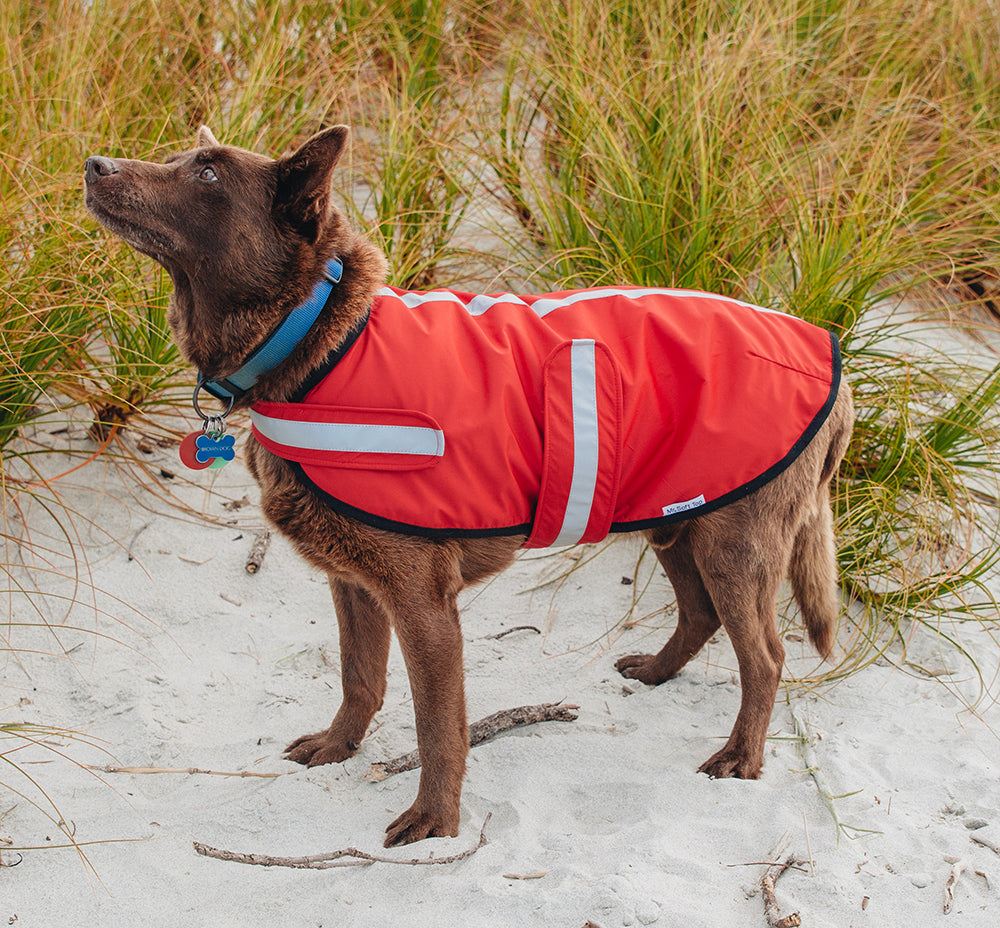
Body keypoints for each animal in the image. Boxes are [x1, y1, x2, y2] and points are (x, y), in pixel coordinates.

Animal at [84, 125, 852, 848]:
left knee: (765, 657)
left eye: (208, 175)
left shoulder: (423, 604)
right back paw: (659, 672)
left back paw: (740, 757)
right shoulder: (354, 583)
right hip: (676, 517)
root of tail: (824, 350)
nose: (93, 165)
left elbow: (438, 727)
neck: (320, 343)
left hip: (733, 544)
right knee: (698, 614)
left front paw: (435, 821)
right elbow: (359, 679)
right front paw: (338, 747)